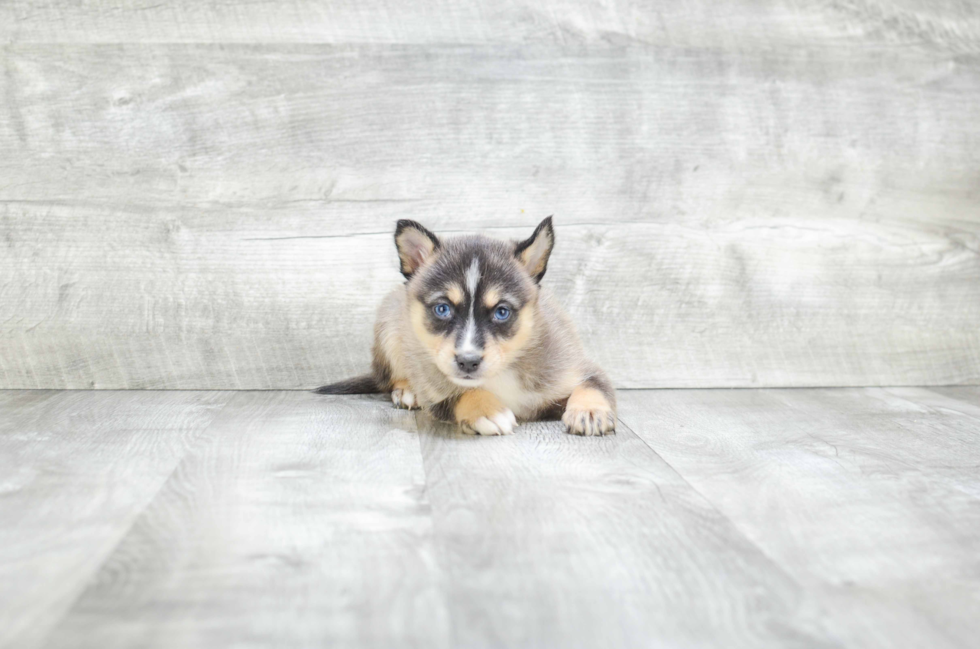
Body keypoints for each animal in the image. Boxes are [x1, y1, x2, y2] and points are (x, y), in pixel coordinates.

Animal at [318, 218, 616, 436]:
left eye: (502, 312)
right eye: (443, 309)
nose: (468, 362)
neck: (502, 373)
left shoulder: (580, 368)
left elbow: (592, 386)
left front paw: (589, 412)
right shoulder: (435, 394)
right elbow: (460, 393)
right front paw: (488, 410)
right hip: (390, 329)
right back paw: (406, 390)